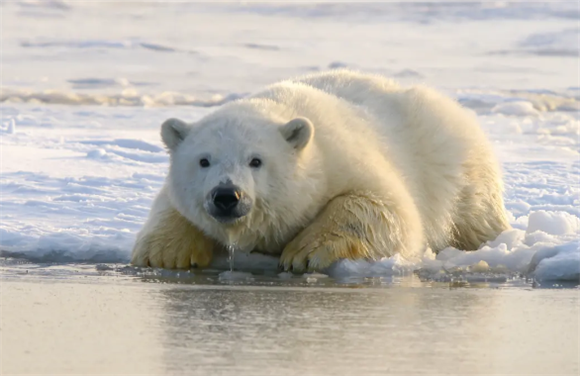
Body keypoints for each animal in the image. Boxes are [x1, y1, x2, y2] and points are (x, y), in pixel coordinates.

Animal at [130, 69, 508, 272]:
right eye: (204, 160)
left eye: (256, 160)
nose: (226, 196)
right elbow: (169, 205)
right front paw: (165, 253)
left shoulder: (344, 159)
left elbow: (386, 208)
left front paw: (303, 253)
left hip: (457, 168)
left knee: (475, 216)